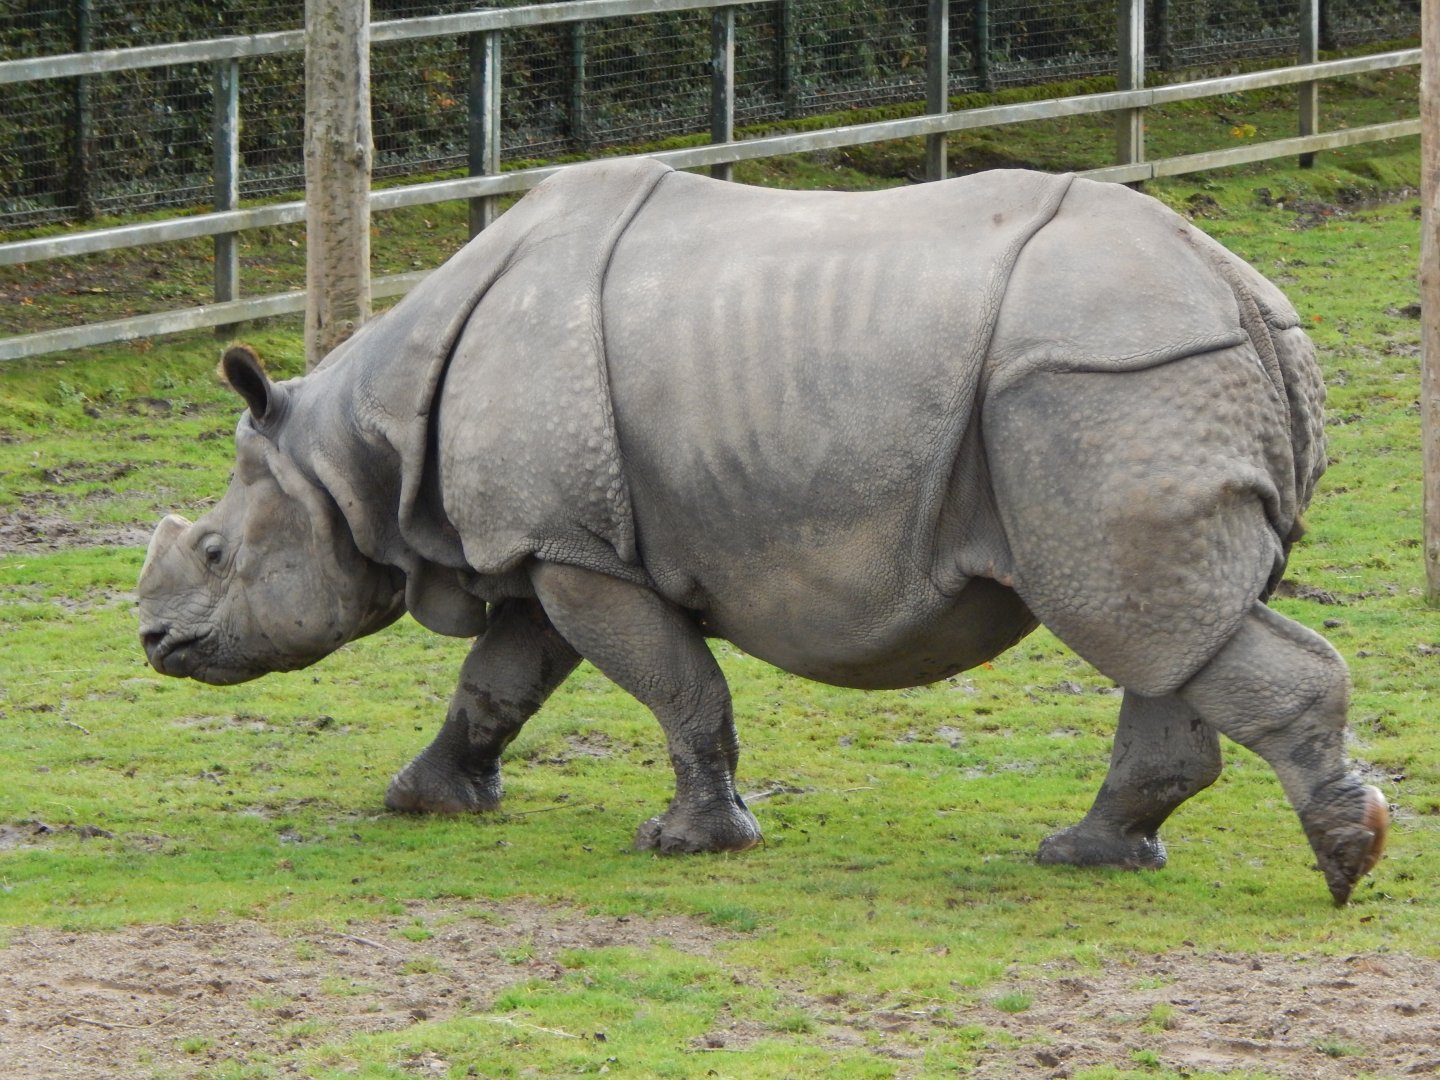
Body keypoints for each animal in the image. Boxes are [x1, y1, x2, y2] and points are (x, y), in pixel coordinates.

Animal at [138, 158, 1387, 905]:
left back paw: (1344, 863)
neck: (356, 448)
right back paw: (1090, 856)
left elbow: (674, 683)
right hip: (1141, 388)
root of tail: (1251, 300)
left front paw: (689, 845)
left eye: (215, 552)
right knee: (1171, 626)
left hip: (1106, 382)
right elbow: (498, 680)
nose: (153, 645)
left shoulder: (570, 548)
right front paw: (423, 801)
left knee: (1135, 615)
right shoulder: (555, 542)